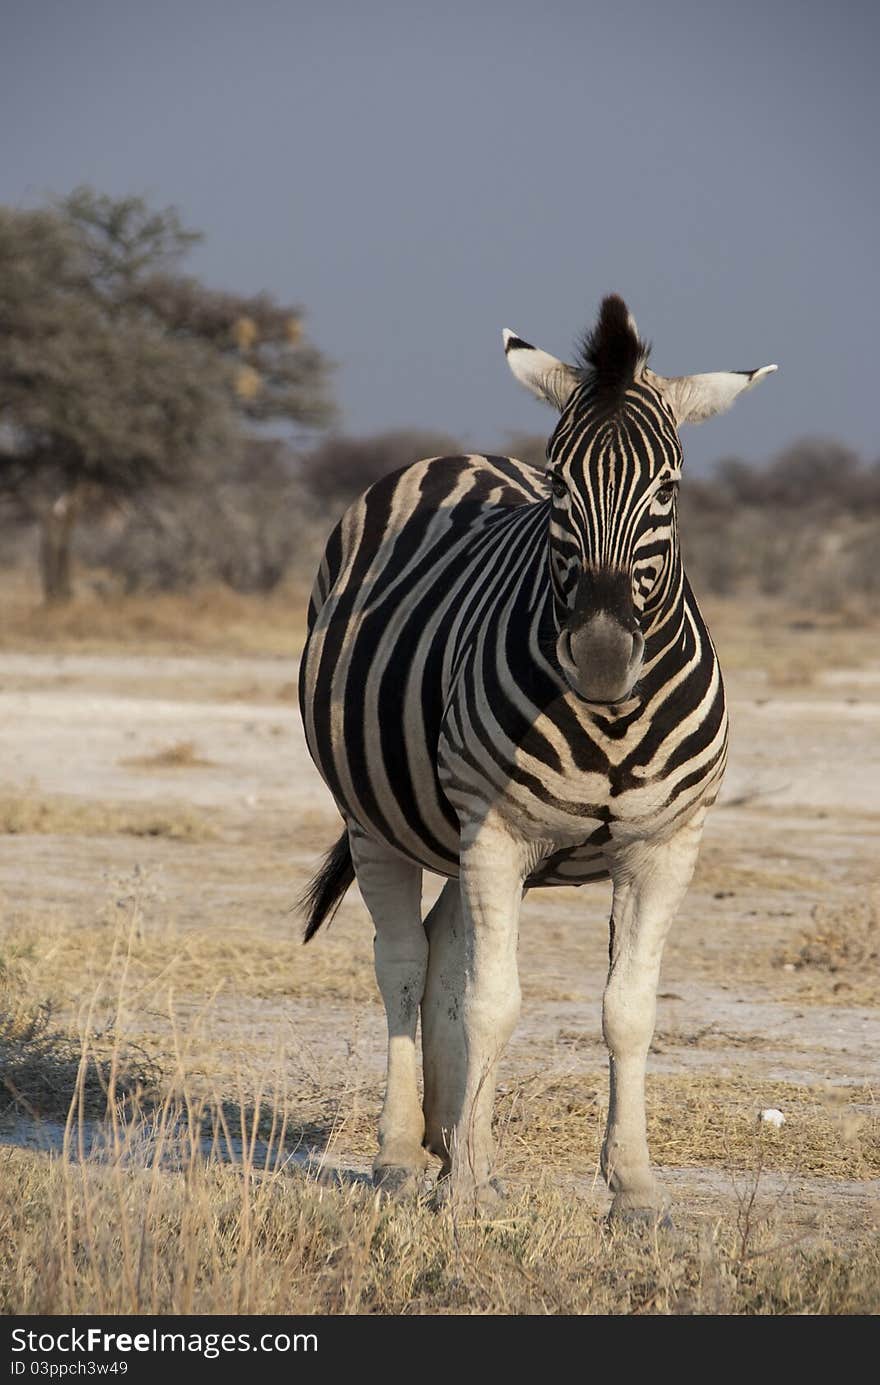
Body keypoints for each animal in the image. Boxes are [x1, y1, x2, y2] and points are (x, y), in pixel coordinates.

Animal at [297, 292, 776, 1213]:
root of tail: (456, 456)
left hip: (452, 827)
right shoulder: (496, 833)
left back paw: (450, 1139)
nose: (600, 655)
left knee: (443, 949)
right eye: (558, 481)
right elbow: (493, 1001)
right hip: (379, 821)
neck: (613, 719)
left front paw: (635, 1189)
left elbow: (628, 1010)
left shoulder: (667, 848)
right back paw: (404, 1155)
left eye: (670, 486)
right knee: (404, 964)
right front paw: (468, 1193)